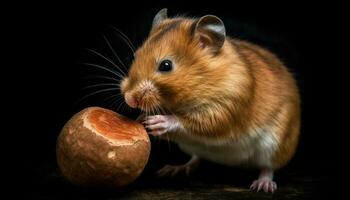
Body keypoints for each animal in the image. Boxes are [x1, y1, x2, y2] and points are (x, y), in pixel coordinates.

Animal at [121, 8, 300, 193]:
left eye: (166, 65)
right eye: (135, 56)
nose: (129, 99)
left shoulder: (225, 110)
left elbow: (189, 122)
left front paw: (159, 121)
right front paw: (141, 118)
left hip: (276, 145)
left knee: (268, 167)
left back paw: (263, 185)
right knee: (196, 158)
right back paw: (176, 168)